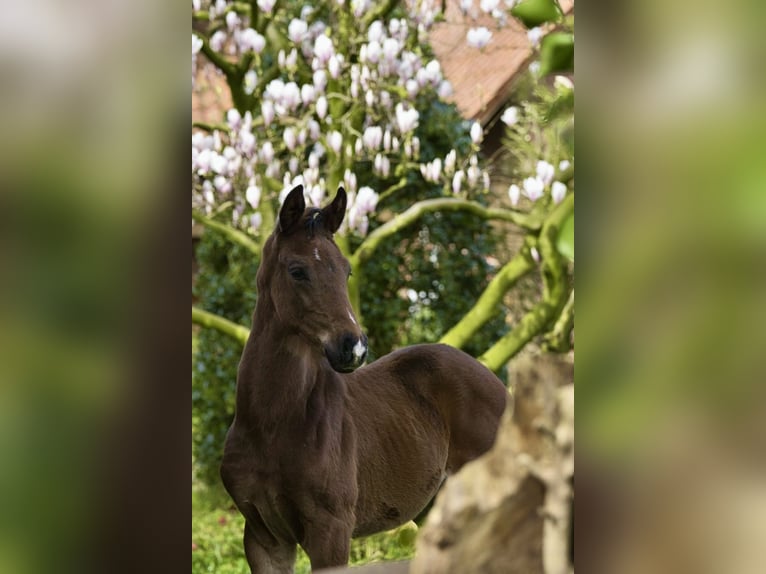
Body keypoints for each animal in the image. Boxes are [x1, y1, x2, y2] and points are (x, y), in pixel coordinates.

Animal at [222, 187, 510, 572]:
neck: (273, 424)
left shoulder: (331, 530)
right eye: (297, 270)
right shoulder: (262, 536)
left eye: (346, 271)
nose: (354, 347)